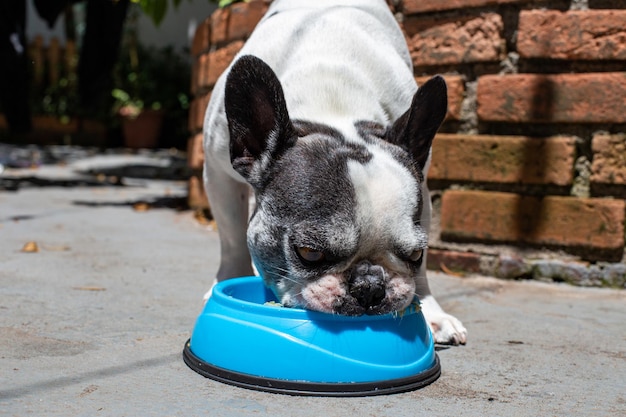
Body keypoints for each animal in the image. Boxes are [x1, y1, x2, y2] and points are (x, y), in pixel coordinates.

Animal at [202, 0, 466, 344]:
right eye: (309, 253)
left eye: (414, 255)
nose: (370, 286)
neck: (332, 105)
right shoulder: (218, 174)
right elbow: (232, 239)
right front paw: (226, 281)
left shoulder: (422, 192)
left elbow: (421, 272)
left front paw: (431, 312)